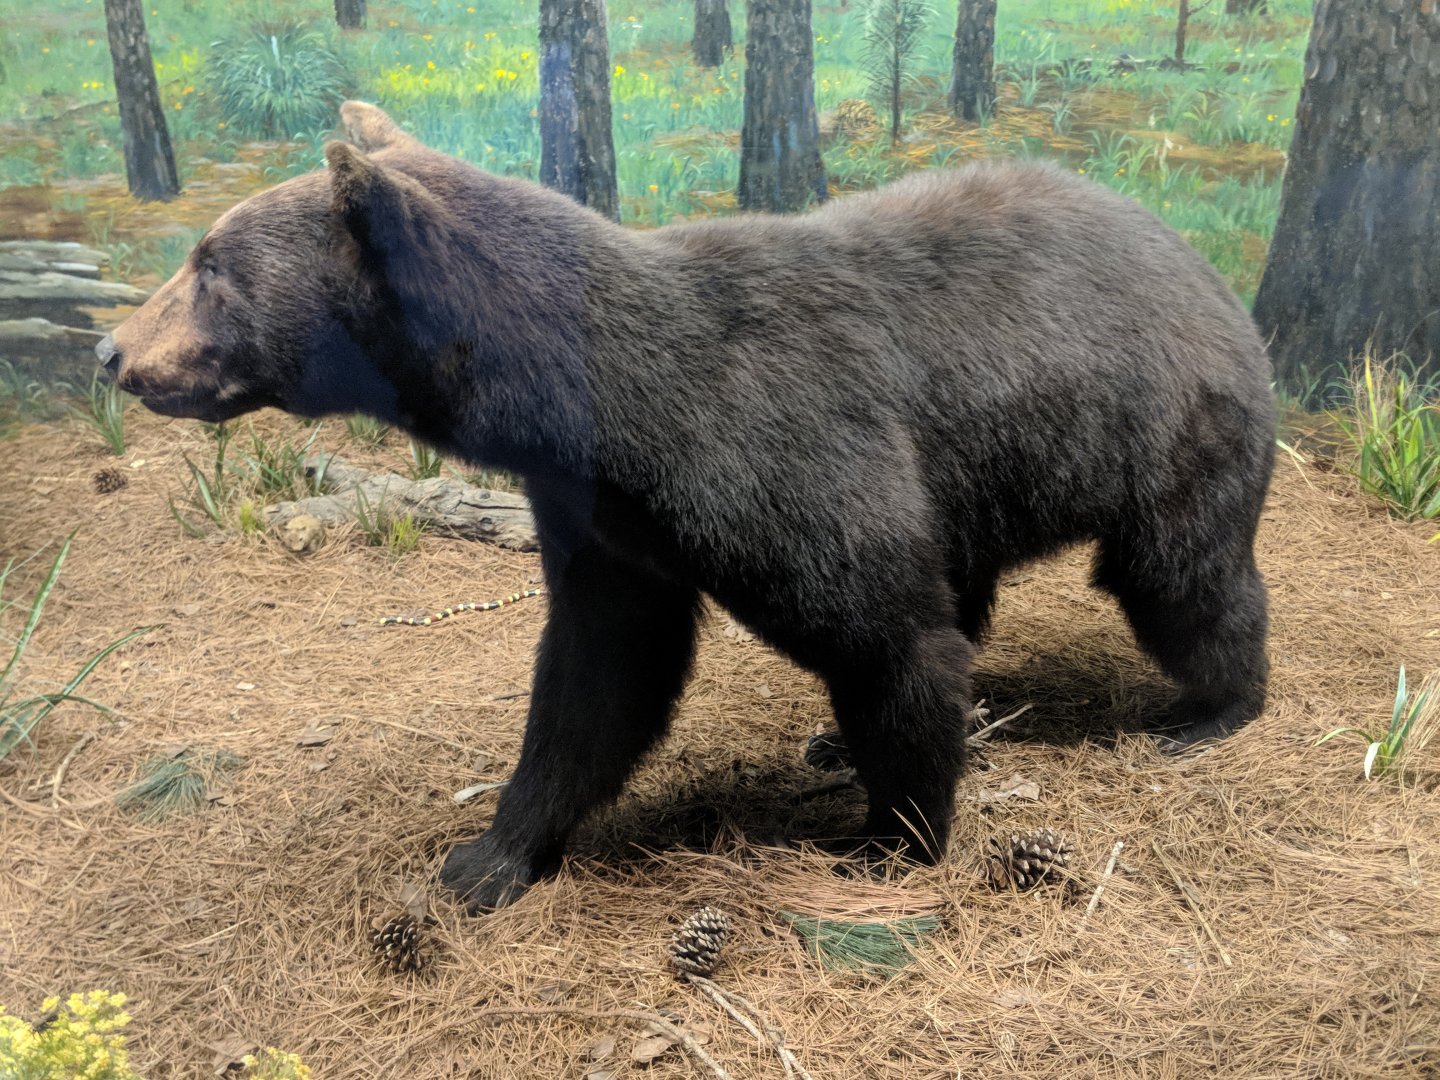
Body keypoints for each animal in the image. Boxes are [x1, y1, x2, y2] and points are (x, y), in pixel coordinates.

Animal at [100, 101, 1273, 912]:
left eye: (209, 266)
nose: (111, 349)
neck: (606, 412)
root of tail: (1208, 265)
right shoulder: (608, 524)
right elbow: (596, 681)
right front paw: (488, 857)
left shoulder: (779, 452)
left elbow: (888, 634)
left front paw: (891, 839)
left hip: (1167, 426)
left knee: (1179, 574)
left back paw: (1210, 709)